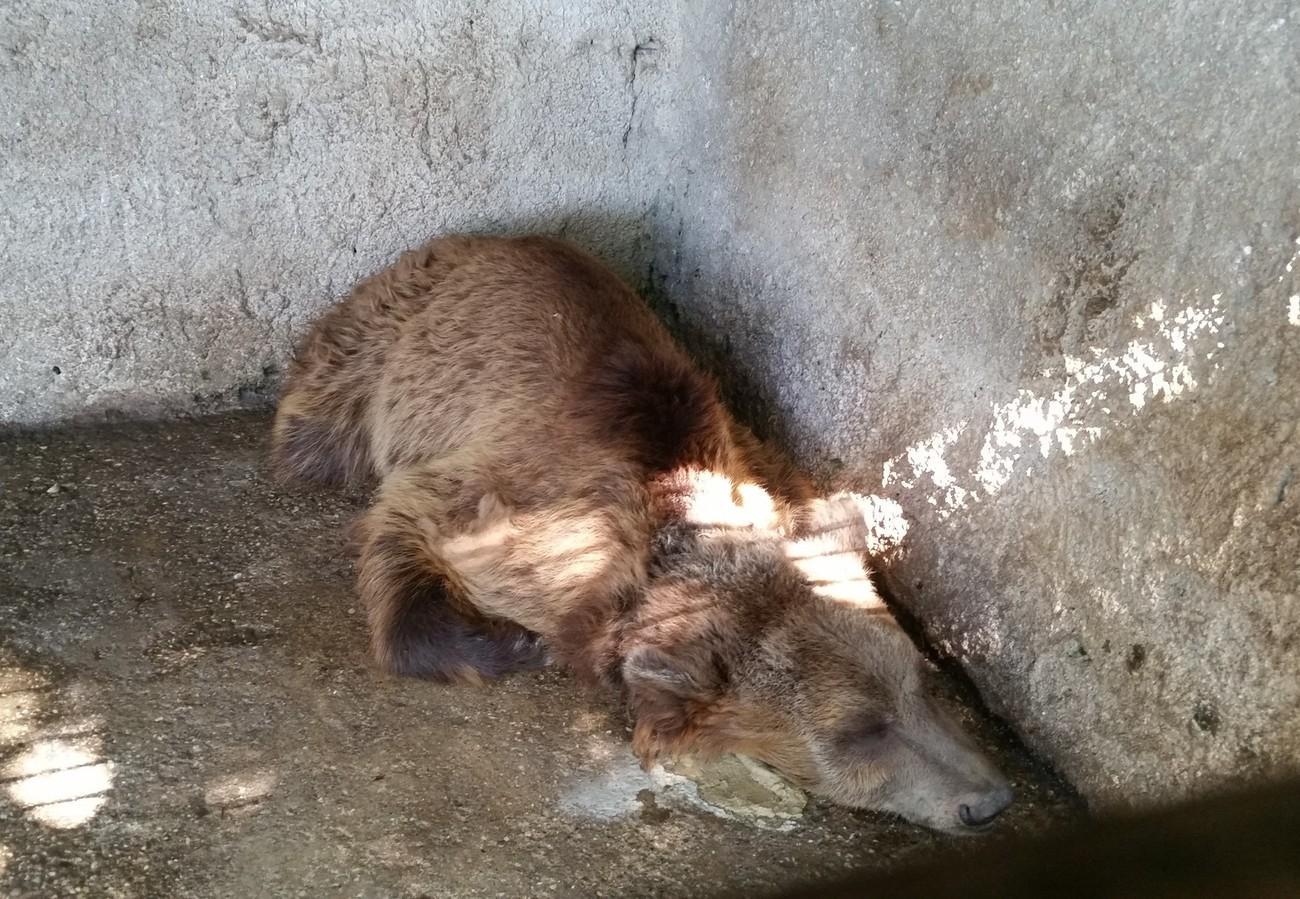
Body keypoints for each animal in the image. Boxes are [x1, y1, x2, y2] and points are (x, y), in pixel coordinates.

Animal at [271, 234, 1013, 833]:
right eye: (861, 729)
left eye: (923, 682)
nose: (989, 800)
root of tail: (477, 237)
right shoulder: (513, 511)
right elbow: (407, 525)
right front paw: (512, 644)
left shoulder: (760, 464)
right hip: (379, 344)